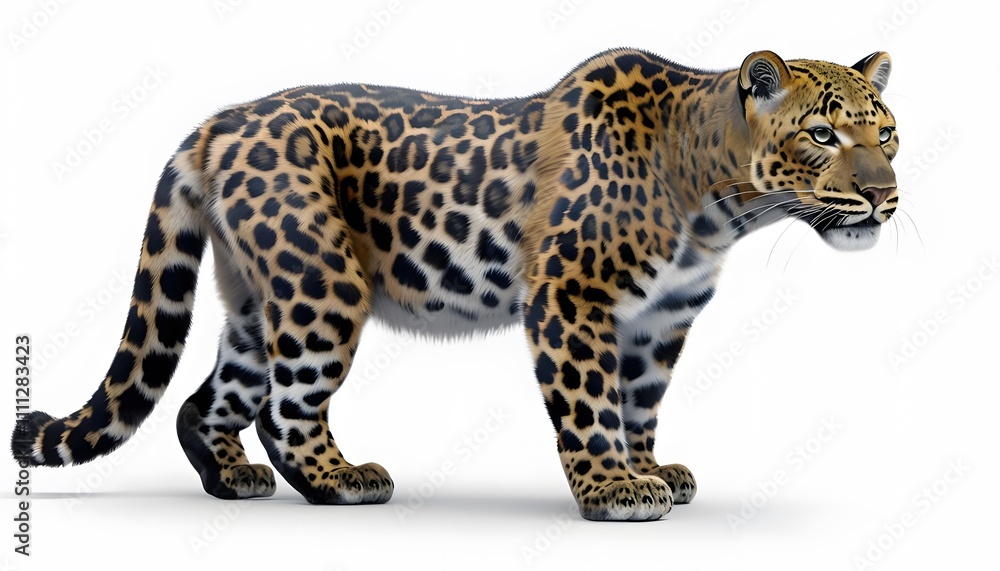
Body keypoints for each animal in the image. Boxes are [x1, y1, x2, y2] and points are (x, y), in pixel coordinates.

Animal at [11, 48, 898, 521]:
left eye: (886, 132)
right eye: (823, 134)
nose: (885, 194)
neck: (716, 200)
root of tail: (216, 123)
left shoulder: (660, 318)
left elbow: (638, 400)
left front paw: (651, 469)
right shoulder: (570, 297)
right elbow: (589, 402)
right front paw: (615, 486)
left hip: (261, 298)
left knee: (208, 399)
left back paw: (231, 477)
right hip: (322, 281)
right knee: (287, 406)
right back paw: (341, 479)